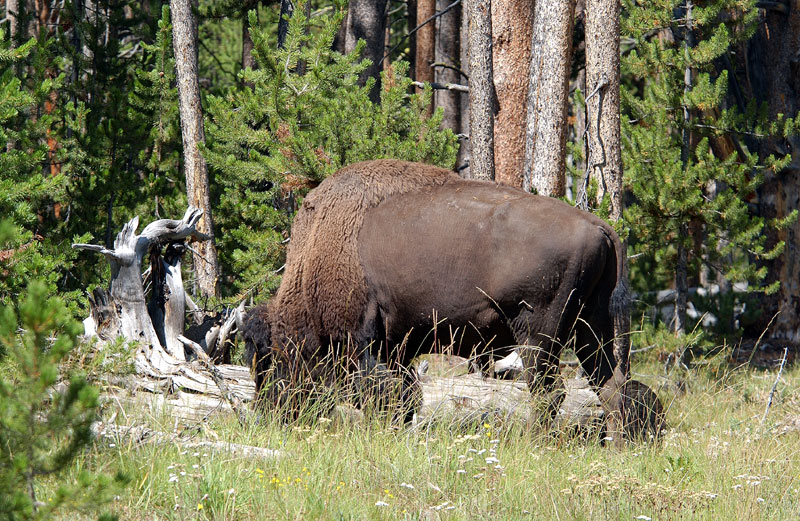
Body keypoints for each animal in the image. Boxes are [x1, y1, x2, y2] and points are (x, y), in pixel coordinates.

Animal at [243, 160, 659, 436]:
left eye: (269, 362)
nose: (268, 414)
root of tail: (600, 226)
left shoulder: (365, 340)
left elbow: (383, 393)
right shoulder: (398, 346)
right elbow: (405, 395)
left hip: (539, 334)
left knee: (550, 392)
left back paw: (534, 442)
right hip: (592, 328)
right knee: (612, 387)